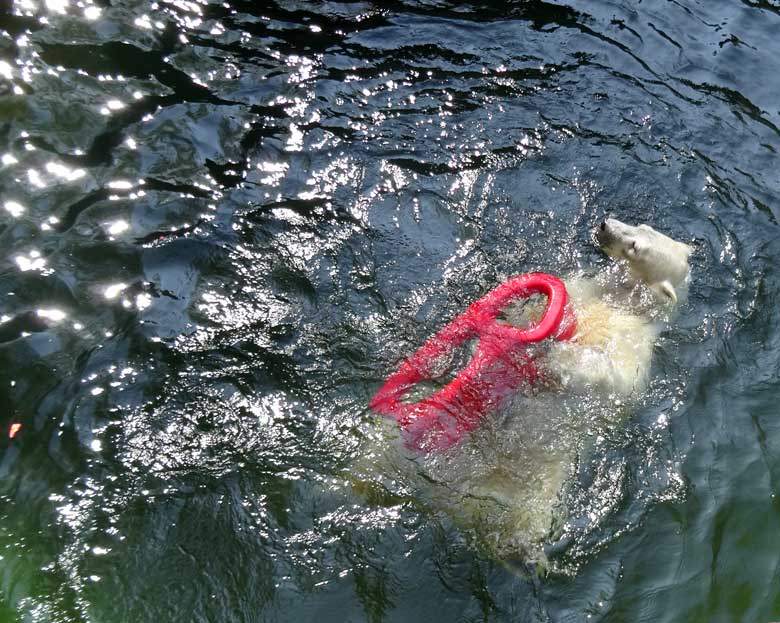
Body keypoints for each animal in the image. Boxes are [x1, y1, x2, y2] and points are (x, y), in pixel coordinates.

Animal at [1, 0, 780, 620]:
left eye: (639, 237)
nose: (604, 226)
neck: (617, 300)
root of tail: (434, 505)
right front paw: (515, 335)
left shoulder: (634, 350)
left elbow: (602, 376)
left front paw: (550, 350)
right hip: (389, 449)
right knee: (360, 465)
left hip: (529, 492)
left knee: (517, 525)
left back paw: (532, 558)